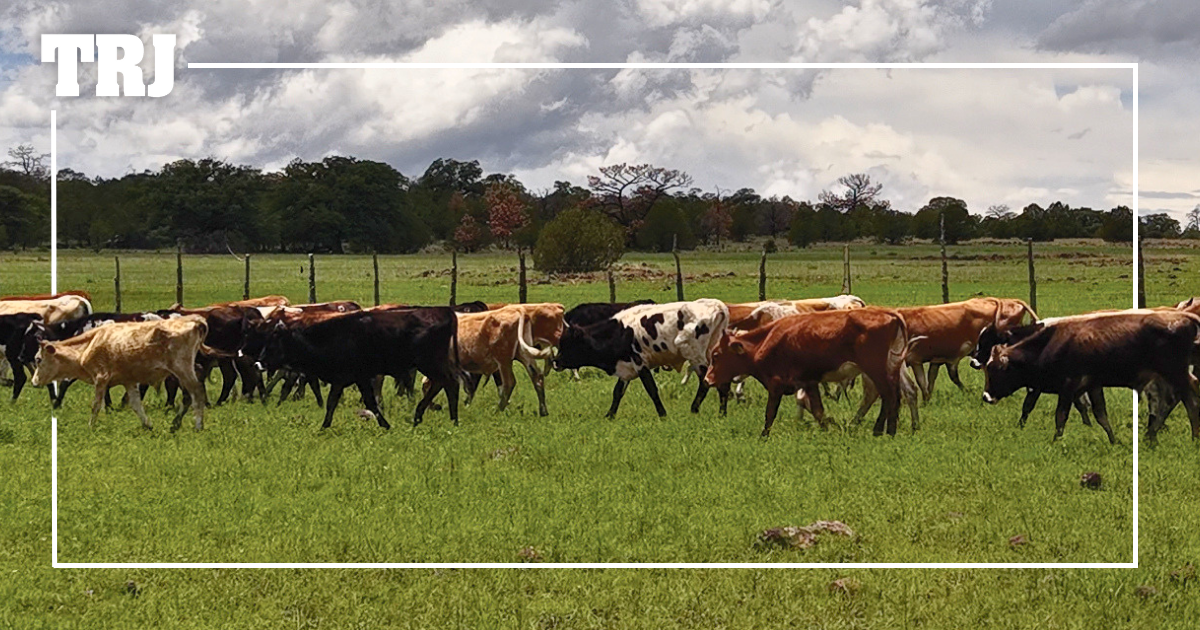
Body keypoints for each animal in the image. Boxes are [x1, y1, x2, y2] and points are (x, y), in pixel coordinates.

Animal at [30, 315, 210, 431]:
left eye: (38, 359)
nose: (33, 382)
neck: (88, 345)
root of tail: (194, 322)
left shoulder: (101, 378)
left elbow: (96, 405)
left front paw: (90, 427)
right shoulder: (128, 381)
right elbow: (136, 404)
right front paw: (147, 425)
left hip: (182, 369)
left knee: (196, 392)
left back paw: (198, 425)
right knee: (190, 393)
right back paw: (176, 424)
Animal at [256, 307, 462, 429]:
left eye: (272, 344)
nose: (259, 362)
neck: (331, 338)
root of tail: (444, 311)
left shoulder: (342, 378)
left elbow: (332, 402)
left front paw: (323, 427)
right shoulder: (360, 378)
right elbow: (370, 402)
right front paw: (385, 425)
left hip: (429, 363)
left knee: (450, 384)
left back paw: (450, 420)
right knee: (442, 385)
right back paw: (422, 417)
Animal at [552, 299, 729, 418]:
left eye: (568, 344)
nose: (555, 362)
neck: (620, 332)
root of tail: (716, 306)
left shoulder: (639, 363)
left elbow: (651, 389)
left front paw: (662, 414)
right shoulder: (626, 367)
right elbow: (617, 392)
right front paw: (609, 415)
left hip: (696, 356)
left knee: (706, 382)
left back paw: (697, 409)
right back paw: (721, 413)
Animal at [703, 308, 916, 437]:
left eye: (716, 355)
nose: (707, 379)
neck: (768, 341)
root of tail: (887, 313)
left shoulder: (776, 384)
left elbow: (770, 413)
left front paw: (763, 436)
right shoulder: (809, 382)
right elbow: (818, 410)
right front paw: (828, 428)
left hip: (875, 368)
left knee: (889, 396)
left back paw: (887, 432)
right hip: (890, 368)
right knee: (892, 396)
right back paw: (882, 430)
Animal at [981, 309, 1200, 444]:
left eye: (996, 370)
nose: (986, 396)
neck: (1051, 343)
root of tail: (1186, 319)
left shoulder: (1068, 386)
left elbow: (1060, 416)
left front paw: (1055, 441)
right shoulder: (1093, 386)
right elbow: (1101, 415)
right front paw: (1114, 441)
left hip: (1176, 373)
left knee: (1189, 401)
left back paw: (1192, 438)